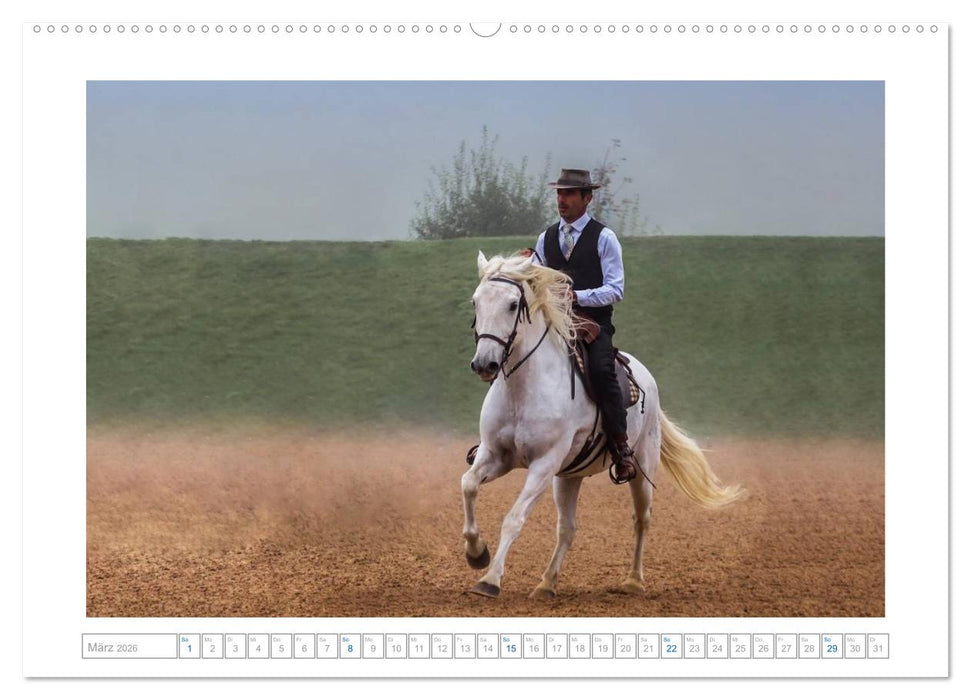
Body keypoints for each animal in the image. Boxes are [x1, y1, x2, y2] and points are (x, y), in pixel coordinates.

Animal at [462, 251, 742, 599]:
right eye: (475, 302)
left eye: (513, 305)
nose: (484, 364)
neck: (523, 389)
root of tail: (645, 374)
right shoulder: (495, 455)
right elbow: (468, 485)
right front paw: (476, 553)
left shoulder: (543, 464)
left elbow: (513, 518)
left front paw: (489, 579)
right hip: (568, 476)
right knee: (568, 529)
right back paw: (546, 584)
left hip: (642, 467)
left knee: (641, 519)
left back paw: (633, 581)